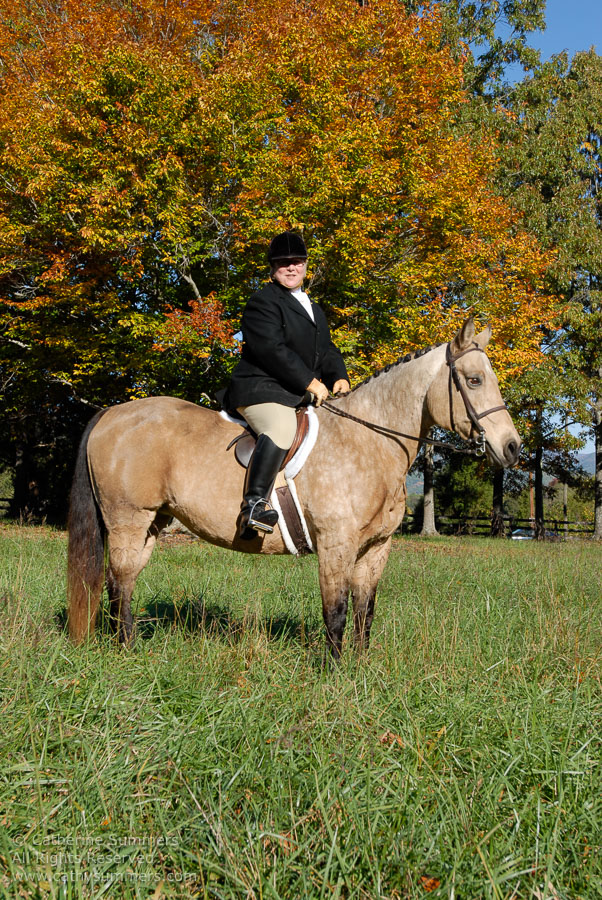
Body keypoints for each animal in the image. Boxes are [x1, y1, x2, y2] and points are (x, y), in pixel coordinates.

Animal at [67, 320, 520, 656]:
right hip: (128, 520)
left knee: (124, 582)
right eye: (474, 380)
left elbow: (365, 612)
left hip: (152, 524)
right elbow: (336, 612)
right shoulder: (336, 545)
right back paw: (125, 653)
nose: (512, 448)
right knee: (118, 583)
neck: (368, 441)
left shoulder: (376, 548)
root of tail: (112, 413)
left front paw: (360, 669)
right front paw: (336, 678)